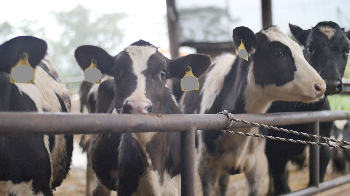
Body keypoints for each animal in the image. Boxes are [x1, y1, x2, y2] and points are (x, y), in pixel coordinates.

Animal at [266, 20, 350, 195]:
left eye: (346, 51)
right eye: (310, 48)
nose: (331, 83)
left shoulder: (324, 149)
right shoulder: (274, 151)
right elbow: (283, 186)